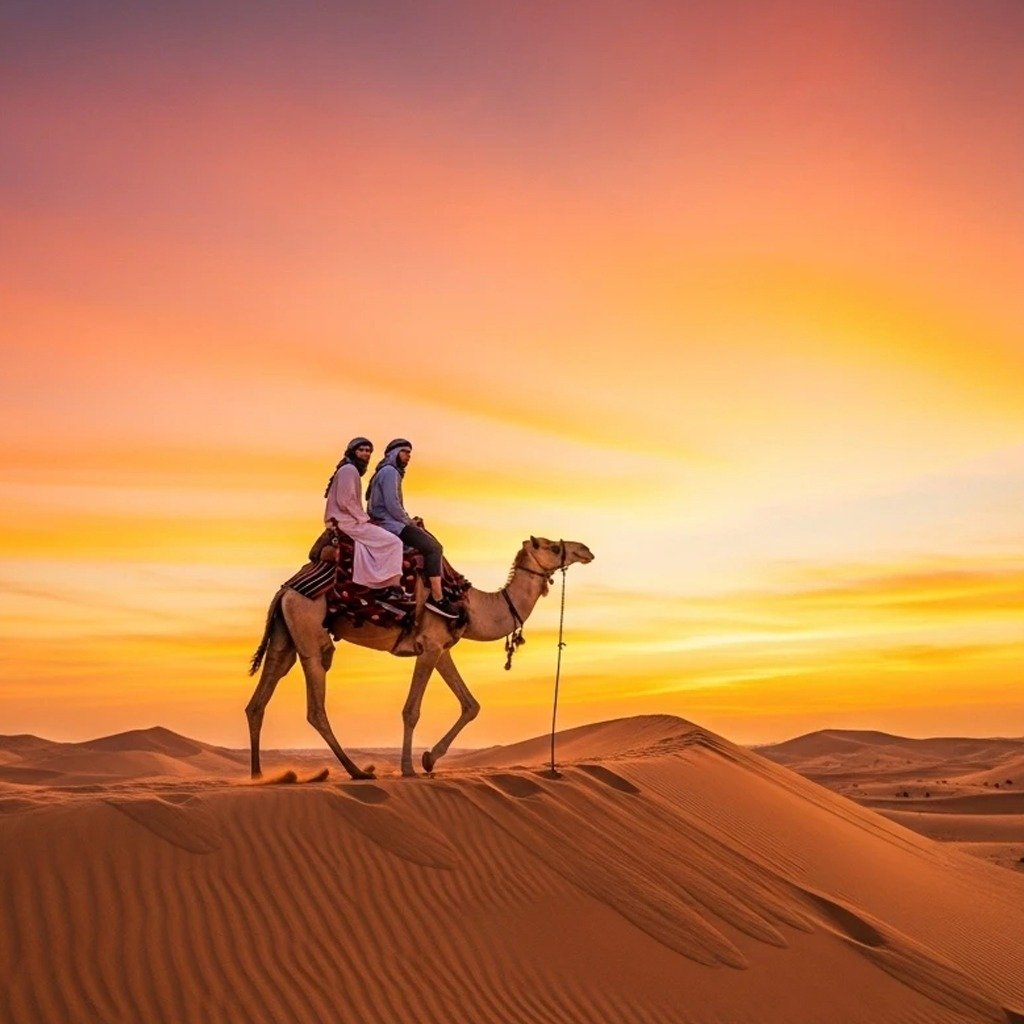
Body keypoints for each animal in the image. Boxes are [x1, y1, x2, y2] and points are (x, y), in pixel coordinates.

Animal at [246, 536, 594, 779]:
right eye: (551, 546)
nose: (585, 550)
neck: (472, 605)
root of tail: (285, 591)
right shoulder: (429, 646)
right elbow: (411, 711)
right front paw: (409, 768)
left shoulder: (441, 648)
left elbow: (471, 705)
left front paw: (428, 759)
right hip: (308, 631)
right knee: (315, 707)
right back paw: (357, 771)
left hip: (285, 636)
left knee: (260, 699)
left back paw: (259, 775)